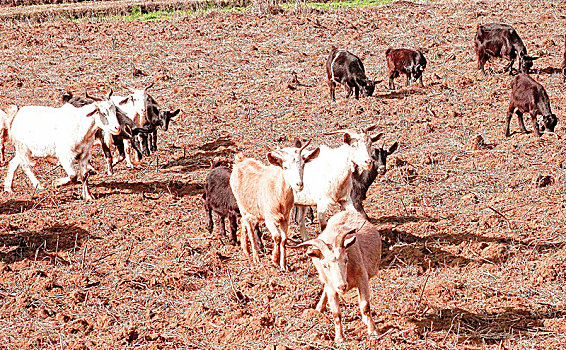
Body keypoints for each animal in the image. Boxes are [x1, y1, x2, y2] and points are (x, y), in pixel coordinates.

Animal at [230, 141, 320, 270]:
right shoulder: (269, 218)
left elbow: (284, 239)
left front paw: (284, 265)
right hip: (241, 204)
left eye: (303, 165)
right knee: (249, 228)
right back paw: (256, 258)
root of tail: (240, 161)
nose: (299, 184)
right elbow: (277, 237)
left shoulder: (285, 218)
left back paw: (246, 250)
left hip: (252, 210)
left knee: (243, 221)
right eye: (285, 167)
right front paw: (275, 260)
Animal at [296, 209, 384, 344]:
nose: (342, 286)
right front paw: (339, 338)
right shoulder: (332, 287)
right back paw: (318, 309)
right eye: (325, 265)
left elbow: (365, 306)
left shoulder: (362, 279)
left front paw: (373, 331)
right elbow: (336, 313)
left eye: (346, 260)